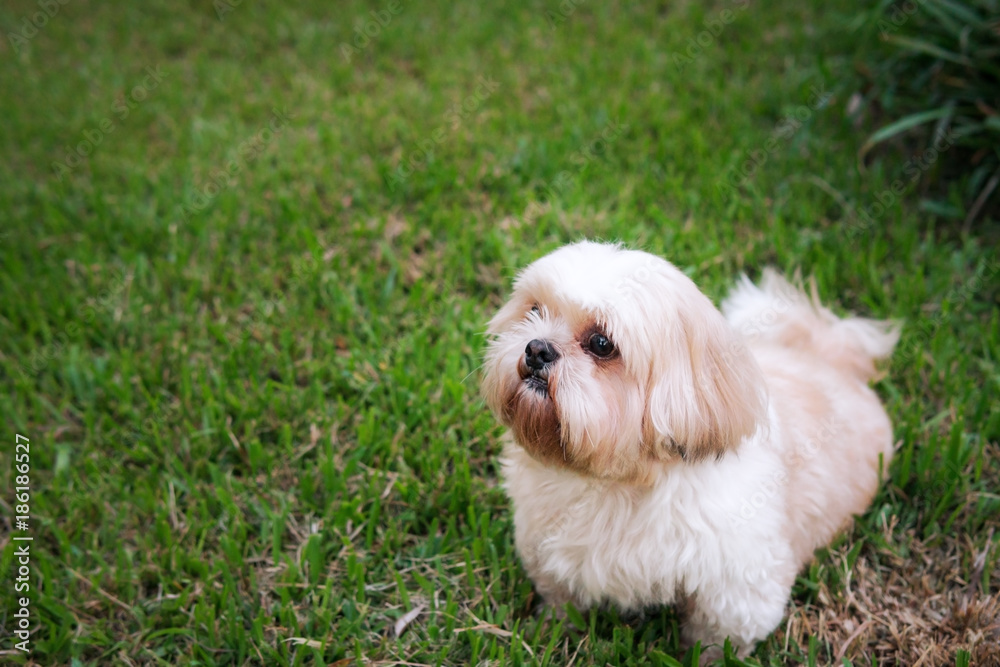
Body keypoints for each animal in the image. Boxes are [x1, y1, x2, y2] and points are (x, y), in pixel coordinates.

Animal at [478, 240, 900, 656]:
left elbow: (718, 638)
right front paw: (551, 628)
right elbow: (561, 596)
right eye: (535, 310)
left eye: (601, 343)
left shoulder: (737, 588)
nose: (537, 349)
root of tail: (830, 355)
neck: (617, 481)